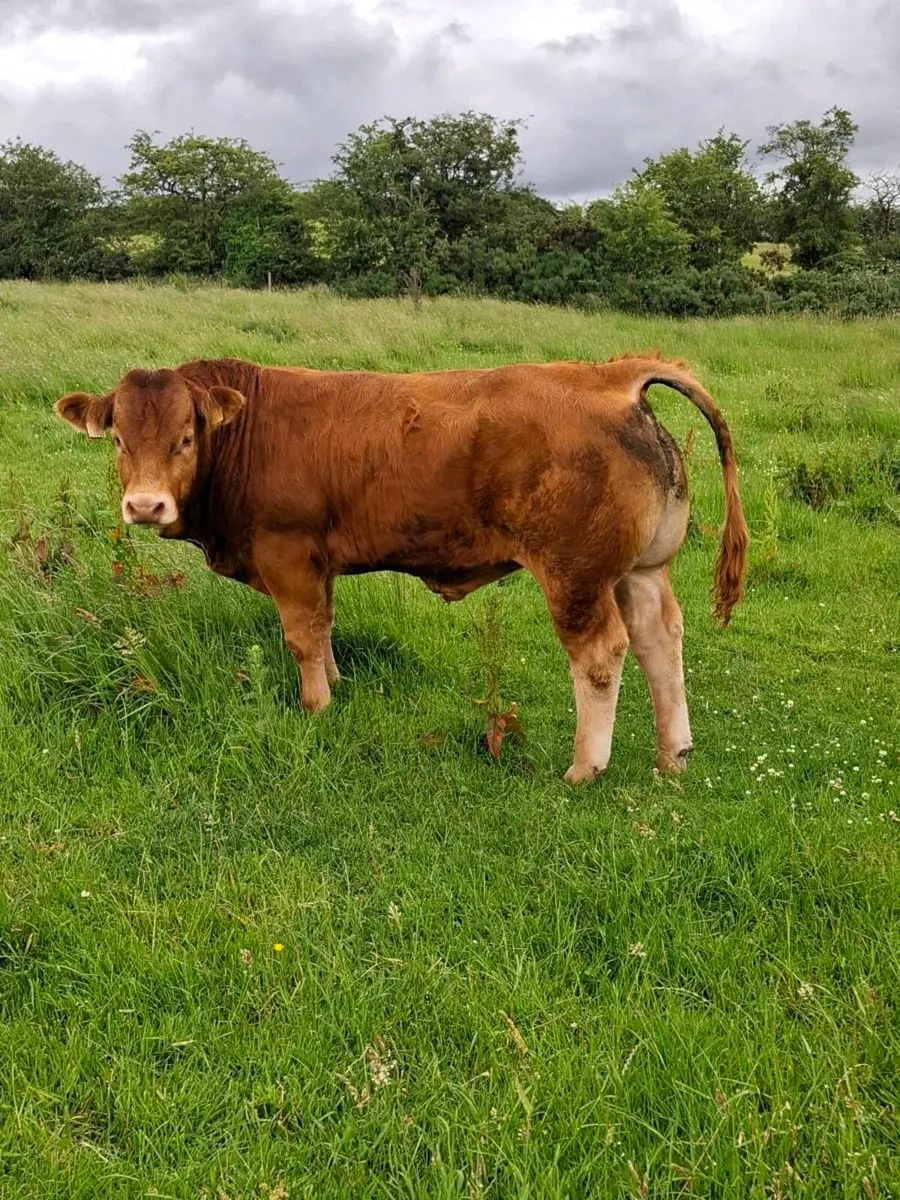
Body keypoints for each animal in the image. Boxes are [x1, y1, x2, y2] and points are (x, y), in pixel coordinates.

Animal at [54, 354, 747, 783]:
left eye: (184, 438)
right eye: (119, 440)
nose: (145, 506)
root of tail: (614, 375)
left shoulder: (287, 553)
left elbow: (300, 637)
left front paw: (316, 706)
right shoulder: (319, 563)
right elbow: (325, 628)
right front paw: (337, 685)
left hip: (575, 576)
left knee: (602, 655)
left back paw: (585, 768)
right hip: (640, 571)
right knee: (661, 641)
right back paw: (672, 755)